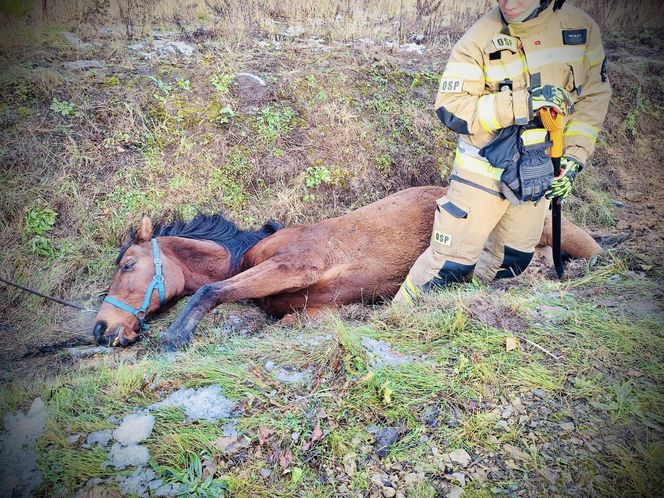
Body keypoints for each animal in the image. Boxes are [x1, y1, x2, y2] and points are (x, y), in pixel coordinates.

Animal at [93, 185, 600, 348]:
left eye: (128, 264)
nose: (100, 329)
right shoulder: (315, 308)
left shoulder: (295, 266)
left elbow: (212, 290)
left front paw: (178, 336)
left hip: (542, 230)